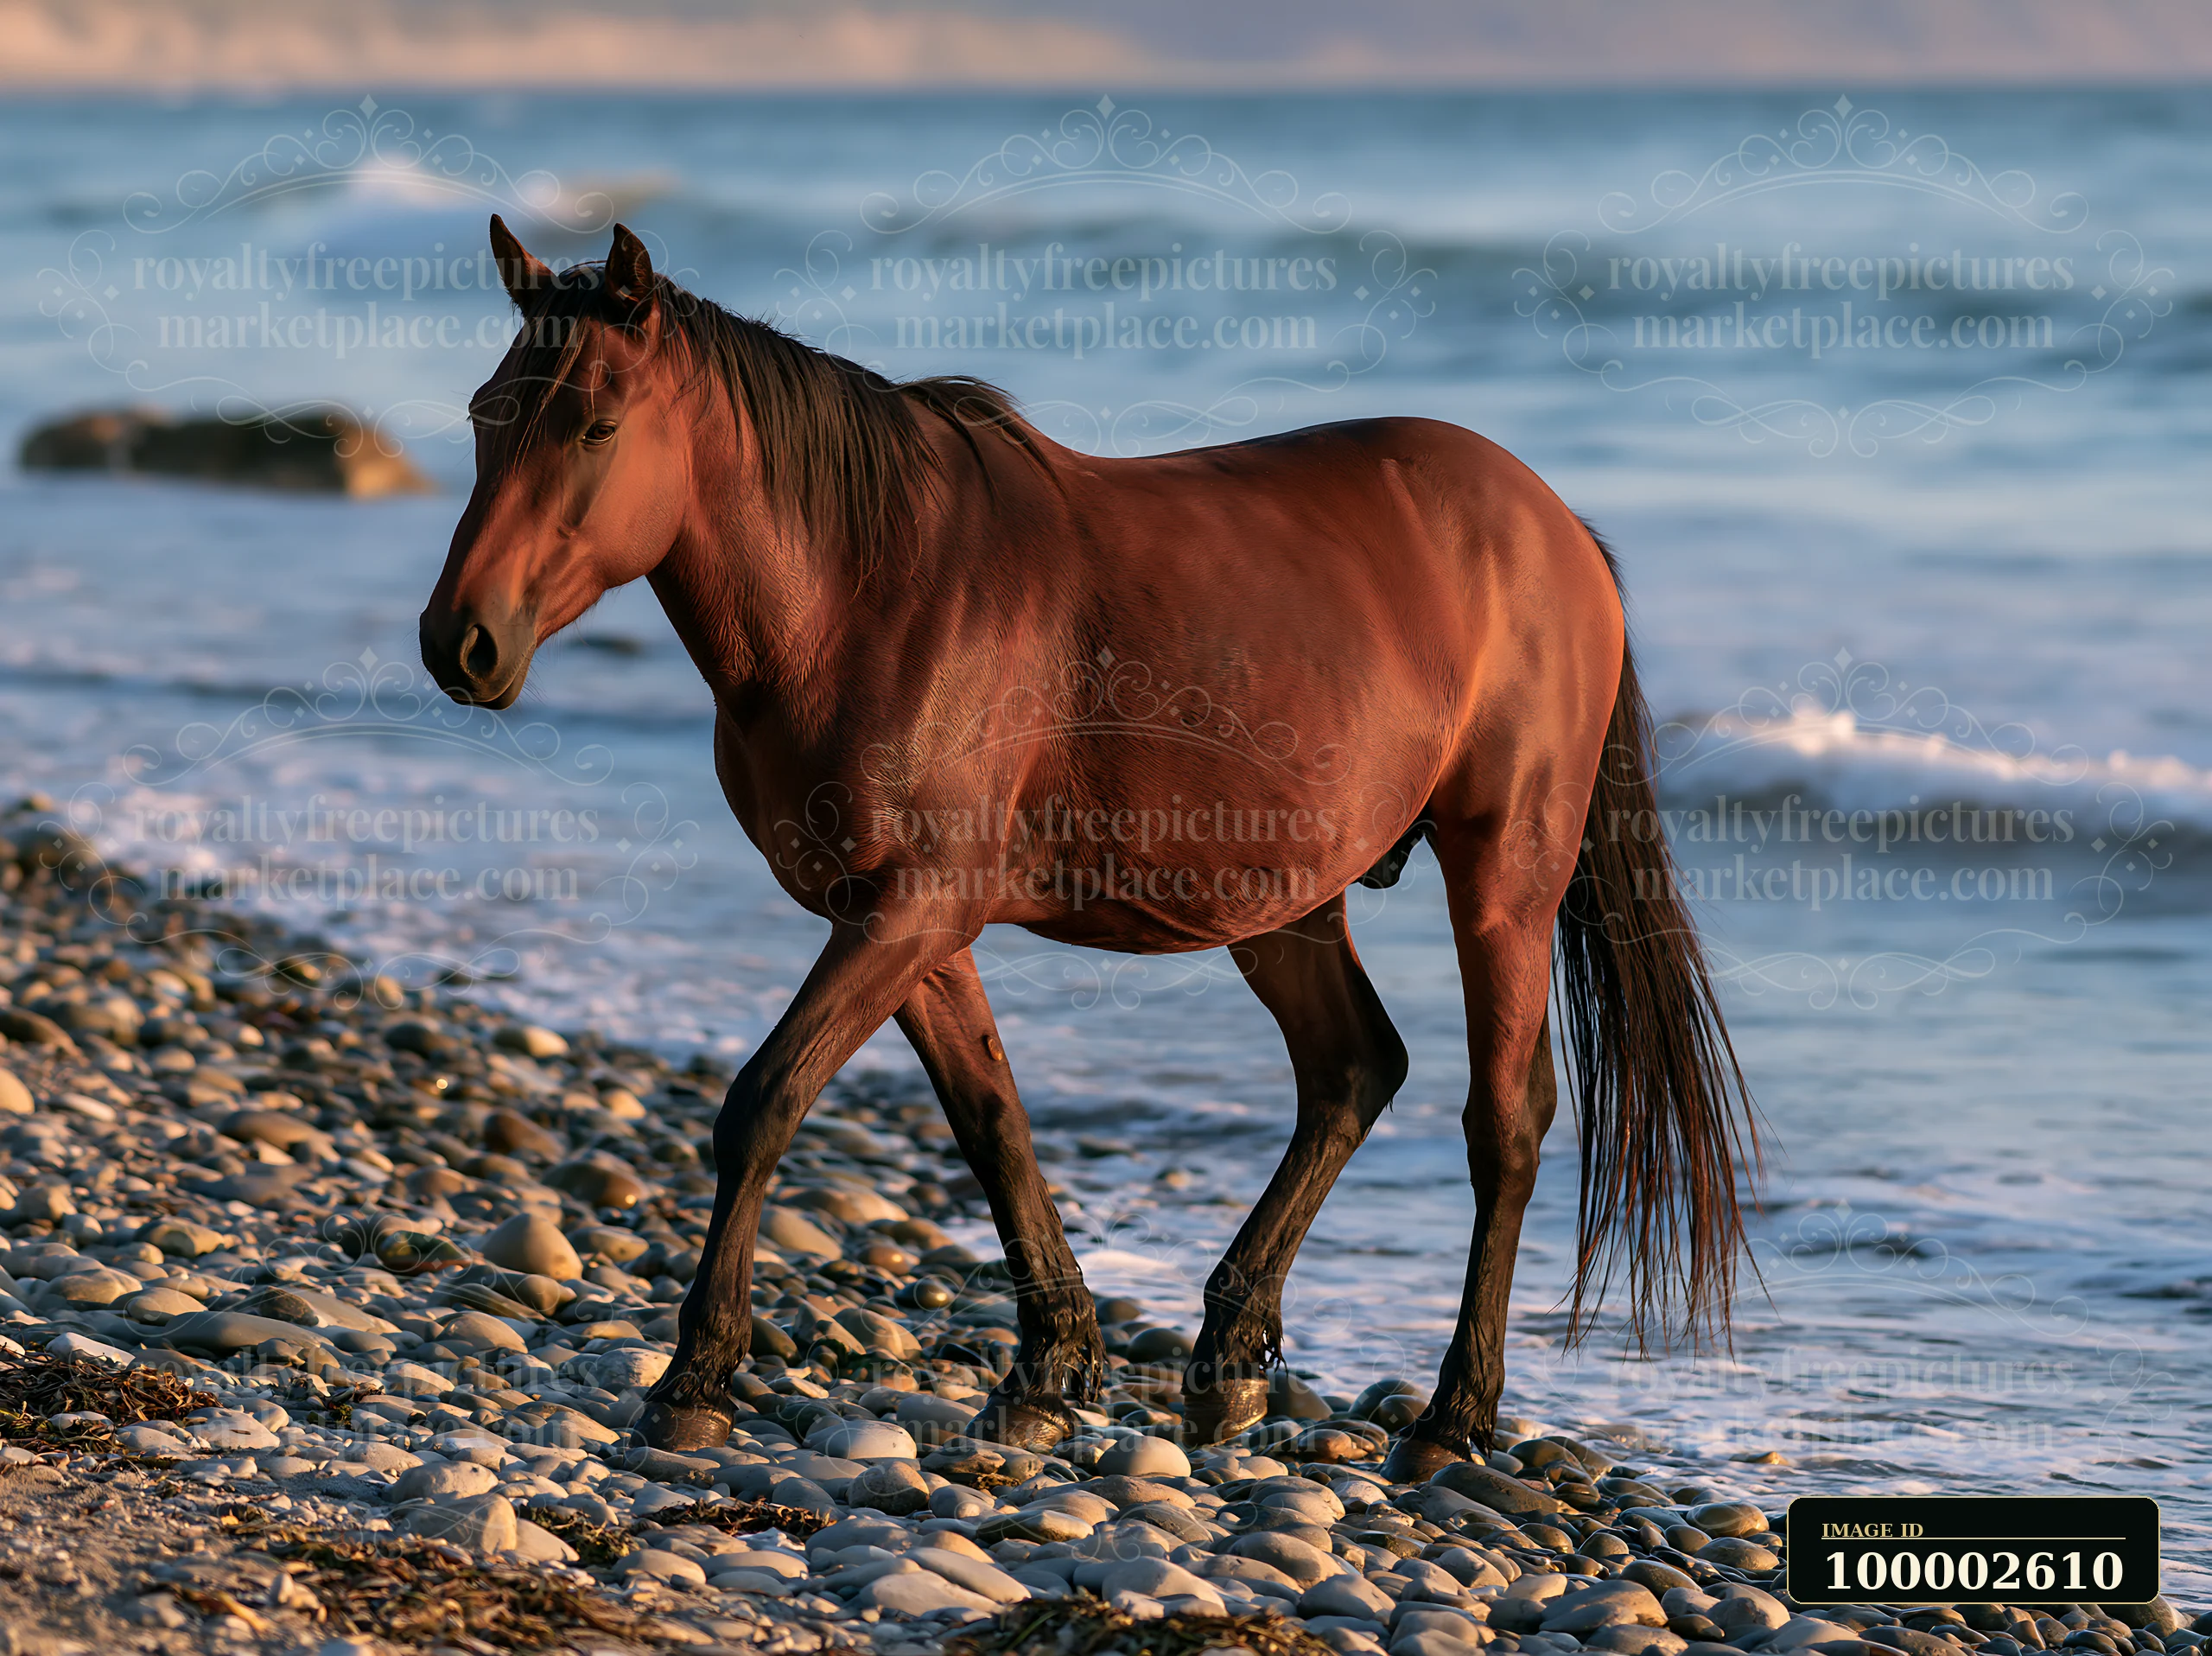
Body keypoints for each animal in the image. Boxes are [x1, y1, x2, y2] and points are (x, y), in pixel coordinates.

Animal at [419, 219, 1757, 1476]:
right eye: (487, 415)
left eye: (595, 425)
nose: (460, 643)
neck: (870, 592)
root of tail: (1554, 529)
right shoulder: (901, 921)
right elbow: (991, 1123)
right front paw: (1049, 1369)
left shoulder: (908, 912)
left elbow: (764, 1103)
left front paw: (694, 1380)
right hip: (1284, 897)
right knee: (1351, 1068)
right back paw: (1228, 1364)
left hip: (1502, 873)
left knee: (1505, 1123)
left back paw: (1448, 1420)